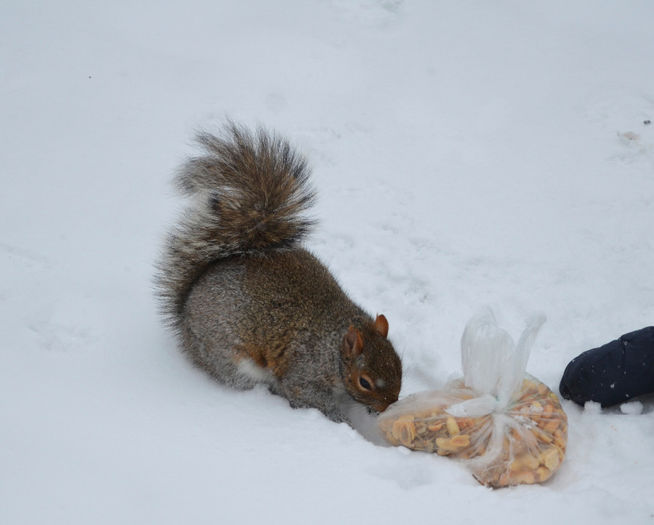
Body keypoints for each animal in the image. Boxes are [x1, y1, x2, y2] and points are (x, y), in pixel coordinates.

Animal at [158, 122, 404, 422]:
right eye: (365, 382)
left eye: (399, 364)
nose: (389, 405)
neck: (334, 347)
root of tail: (185, 311)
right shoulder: (305, 369)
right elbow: (305, 393)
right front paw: (341, 421)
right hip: (230, 358)